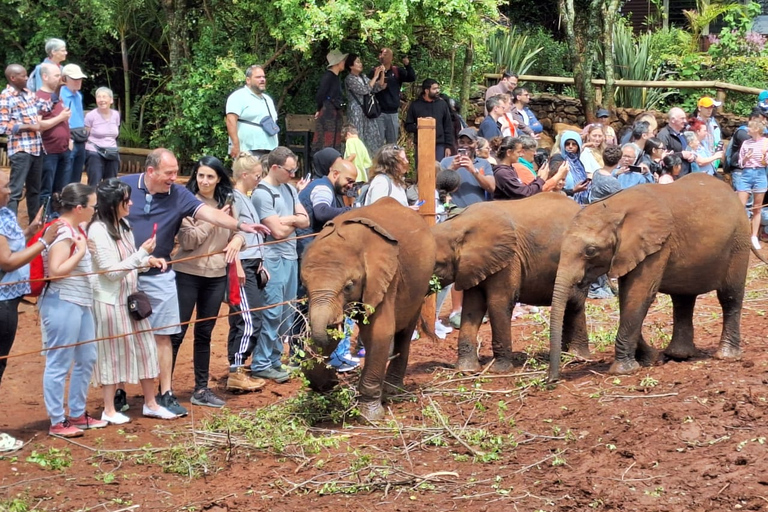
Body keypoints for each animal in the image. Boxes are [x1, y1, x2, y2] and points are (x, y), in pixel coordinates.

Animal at [300, 196, 436, 420]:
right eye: (304, 285)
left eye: (348, 286)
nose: (334, 380)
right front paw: (327, 386)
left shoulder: (386, 276)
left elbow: (380, 332)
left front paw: (370, 416)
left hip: (420, 283)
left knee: (404, 331)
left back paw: (392, 390)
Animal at [432, 192, 588, 372]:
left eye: (437, 264)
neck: (457, 224)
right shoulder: (473, 266)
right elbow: (472, 307)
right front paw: (466, 371)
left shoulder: (509, 260)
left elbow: (498, 303)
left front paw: (499, 371)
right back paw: (565, 356)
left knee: (574, 303)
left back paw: (577, 357)